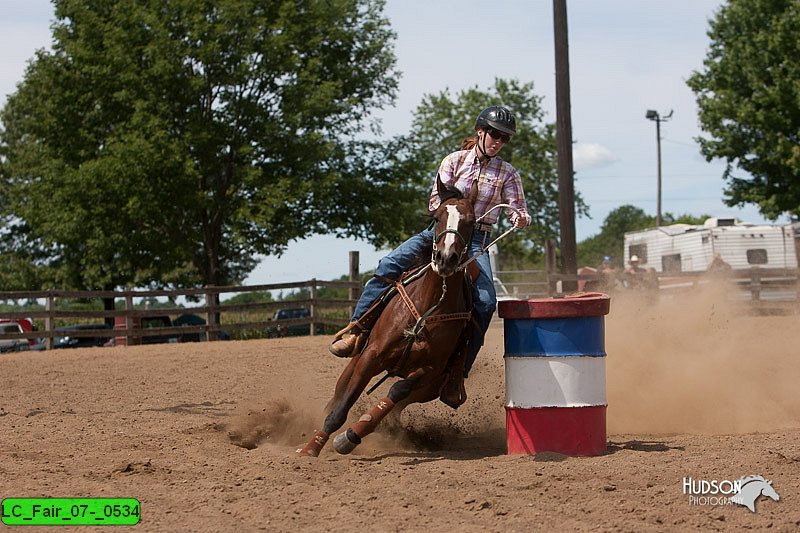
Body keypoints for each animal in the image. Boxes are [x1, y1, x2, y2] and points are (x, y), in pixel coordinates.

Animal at [298, 177, 476, 456]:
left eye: (471, 221)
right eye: (437, 217)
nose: (446, 258)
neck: (427, 307)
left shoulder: (430, 370)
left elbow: (396, 392)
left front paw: (349, 437)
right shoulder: (371, 356)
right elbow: (341, 408)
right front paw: (311, 448)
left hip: (429, 389)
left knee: (395, 407)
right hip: (356, 359)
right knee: (339, 394)